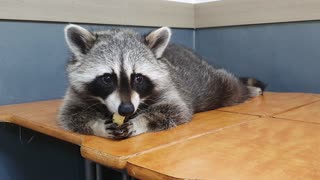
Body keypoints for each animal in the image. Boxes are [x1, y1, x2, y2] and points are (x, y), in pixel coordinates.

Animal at [57, 24, 264, 139]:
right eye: (107, 78)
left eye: (138, 78)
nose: (126, 109)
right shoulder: (75, 93)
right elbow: (69, 115)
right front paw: (98, 125)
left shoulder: (169, 87)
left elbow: (176, 109)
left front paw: (141, 121)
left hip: (209, 81)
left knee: (229, 87)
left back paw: (247, 90)